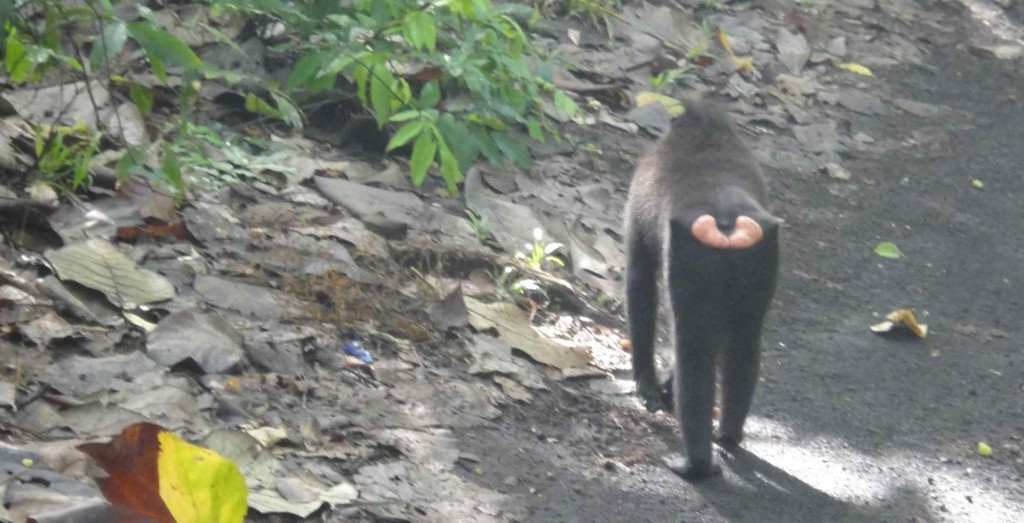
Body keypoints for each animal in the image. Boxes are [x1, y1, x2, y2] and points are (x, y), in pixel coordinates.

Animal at [624, 99, 781, 481]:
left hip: (691, 261)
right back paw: (727, 435)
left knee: (693, 354)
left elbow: (640, 286)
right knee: (744, 345)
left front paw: (648, 385)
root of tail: (726, 219)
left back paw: (695, 463)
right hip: (758, 261)